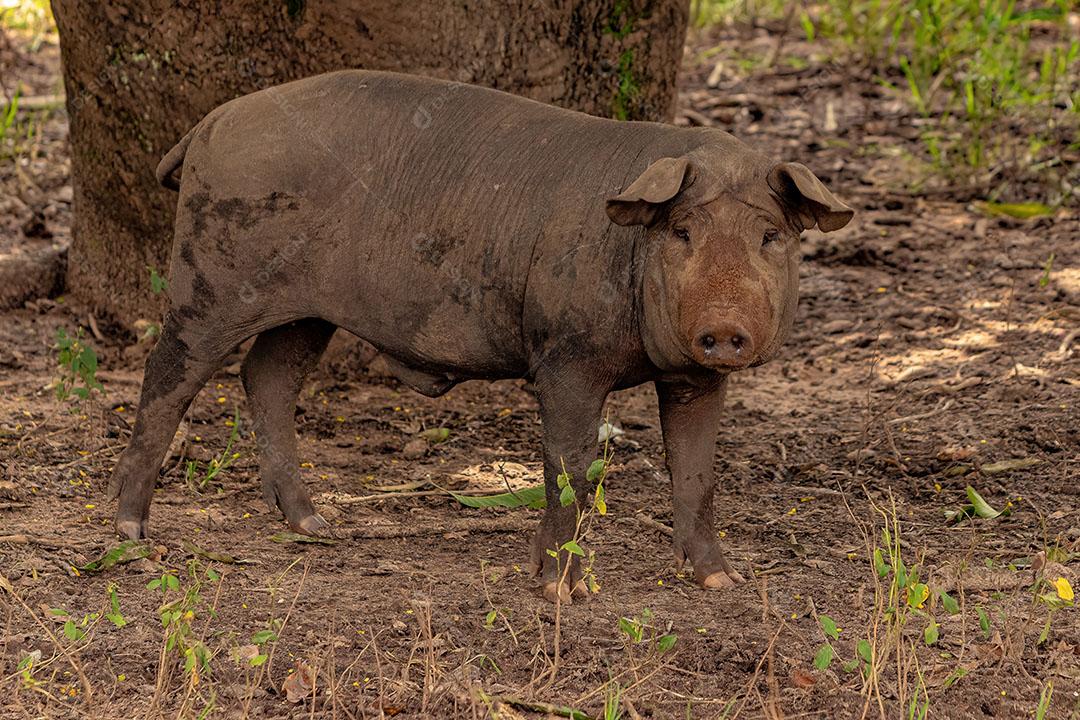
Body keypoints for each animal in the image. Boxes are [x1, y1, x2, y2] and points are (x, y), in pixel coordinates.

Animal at [110, 70, 853, 602]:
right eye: (681, 231)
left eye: (771, 235)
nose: (724, 327)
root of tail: (211, 123)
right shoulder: (565, 356)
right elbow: (570, 465)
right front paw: (559, 592)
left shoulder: (694, 376)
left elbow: (697, 473)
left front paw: (724, 583)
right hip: (211, 276)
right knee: (170, 375)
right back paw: (131, 533)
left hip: (306, 312)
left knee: (266, 377)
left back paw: (317, 526)